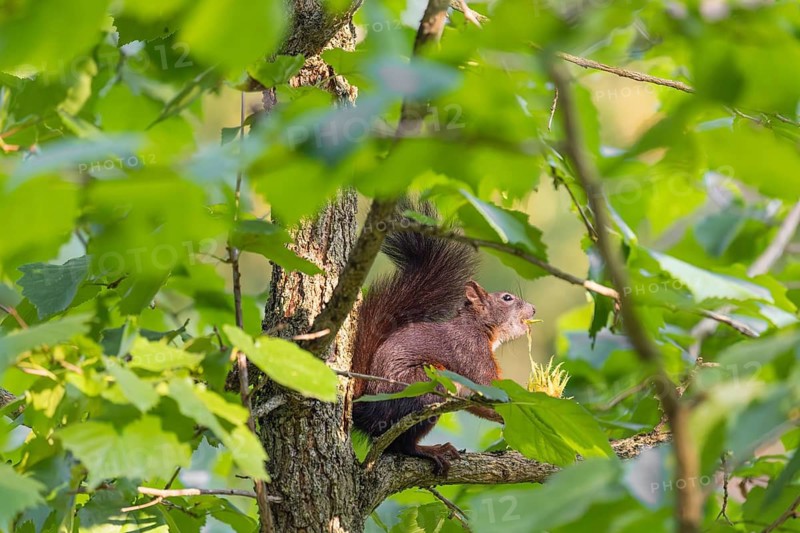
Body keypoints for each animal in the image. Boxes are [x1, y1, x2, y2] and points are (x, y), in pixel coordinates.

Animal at [351, 201, 536, 474]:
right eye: (507, 298)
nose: (533, 309)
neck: (477, 326)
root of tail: (368, 410)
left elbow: (479, 402)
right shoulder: (471, 351)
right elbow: (489, 385)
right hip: (425, 386)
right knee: (401, 445)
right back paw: (430, 450)